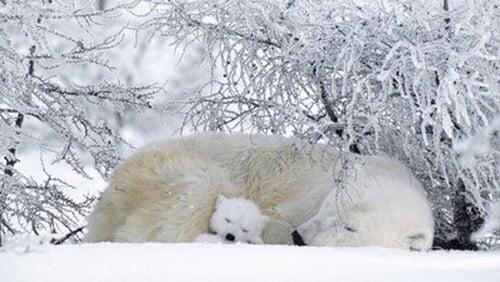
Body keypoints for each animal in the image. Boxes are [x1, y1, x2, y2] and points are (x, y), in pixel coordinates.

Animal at [85, 133, 434, 250]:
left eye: (349, 227)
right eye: (326, 207)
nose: (300, 237)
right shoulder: (304, 198)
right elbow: (272, 219)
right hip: (167, 169)